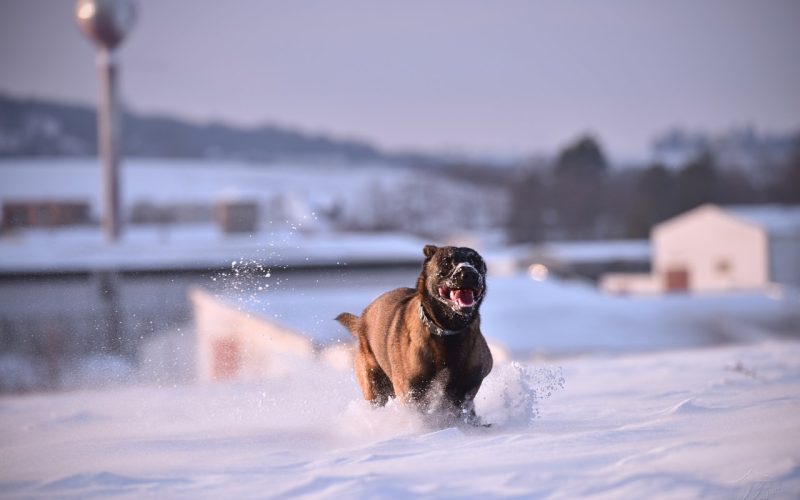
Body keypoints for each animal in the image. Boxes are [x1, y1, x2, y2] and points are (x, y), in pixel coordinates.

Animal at [334, 244, 490, 424]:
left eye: (476, 262)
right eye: (446, 262)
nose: (469, 272)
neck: (447, 332)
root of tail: (362, 320)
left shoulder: (467, 386)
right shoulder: (412, 391)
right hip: (374, 385)